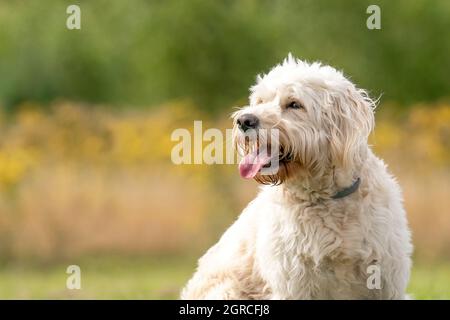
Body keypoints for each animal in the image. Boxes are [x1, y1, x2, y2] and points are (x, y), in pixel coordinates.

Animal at [181, 55, 414, 300]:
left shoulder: (386, 283)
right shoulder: (293, 285)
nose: (244, 120)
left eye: (294, 104)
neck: (326, 198)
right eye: (260, 101)